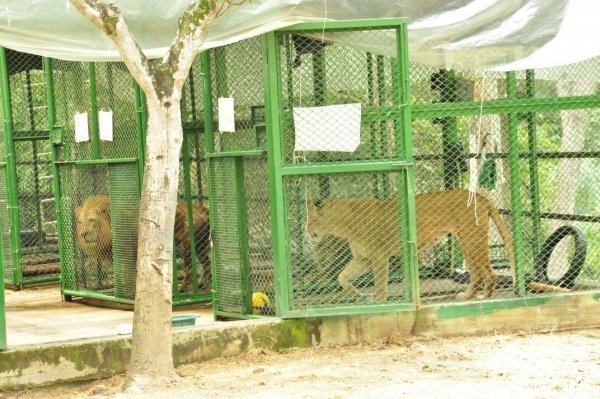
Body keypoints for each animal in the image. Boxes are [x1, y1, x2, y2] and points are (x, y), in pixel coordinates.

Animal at [308, 191, 512, 304]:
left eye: (311, 218)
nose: (305, 229)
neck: (344, 224)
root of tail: (479, 196)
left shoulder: (379, 256)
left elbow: (380, 284)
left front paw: (379, 302)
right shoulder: (363, 258)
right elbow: (341, 276)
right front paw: (354, 291)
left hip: (472, 239)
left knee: (489, 273)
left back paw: (485, 298)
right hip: (466, 242)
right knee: (477, 274)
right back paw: (467, 296)